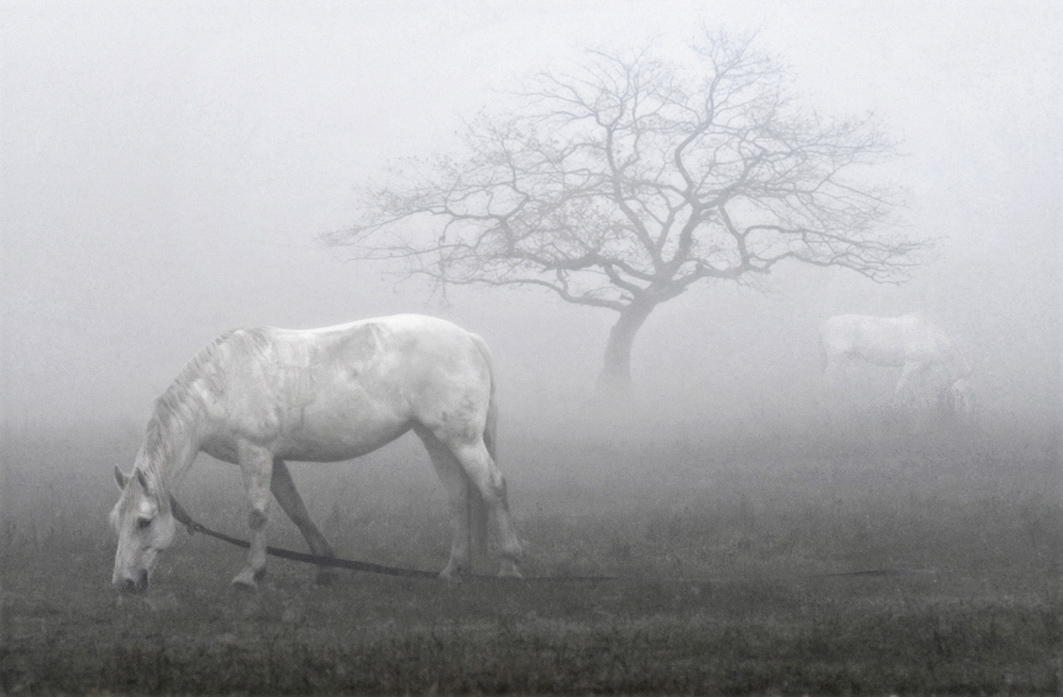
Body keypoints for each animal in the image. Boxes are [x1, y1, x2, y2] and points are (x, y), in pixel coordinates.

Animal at [110, 316, 520, 595]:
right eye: (117, 522)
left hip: (462, 440)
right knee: (458, 498)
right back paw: (453, 571)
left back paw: (510, 566)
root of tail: (469, 339)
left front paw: (249, 575)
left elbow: (257, 515)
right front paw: (326, 566)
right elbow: (297, 510)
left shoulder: (254, 452)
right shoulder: (272, 459)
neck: (221, 383)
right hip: (435, 439)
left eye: (144, 522)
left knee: (493, 487)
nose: (123, 583)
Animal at [820, 314, 973, 418]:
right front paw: (894, 408)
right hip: (836, 360)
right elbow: (900, 386)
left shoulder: (924, 368)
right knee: (827, 384)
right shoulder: (911, 365)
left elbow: (923, 390)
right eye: (961, 392)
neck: (931, 336)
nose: (965, 413)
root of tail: (825, 325)